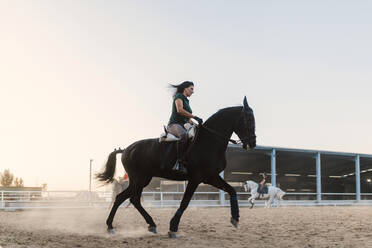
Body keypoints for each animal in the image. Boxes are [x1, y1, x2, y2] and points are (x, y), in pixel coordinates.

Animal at [96, 96, 256, 237]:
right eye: (248, 119)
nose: (252, 143)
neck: (209, 141)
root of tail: (126, 150)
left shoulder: (211, 177)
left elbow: (232, 191)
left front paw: (235, 218)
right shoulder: (196, 178)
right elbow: (184, 203)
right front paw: (173, 228)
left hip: (141, 180)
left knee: (125, 198)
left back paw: (129, 226)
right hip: (139, 179)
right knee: (129, 198)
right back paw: (122, 226)